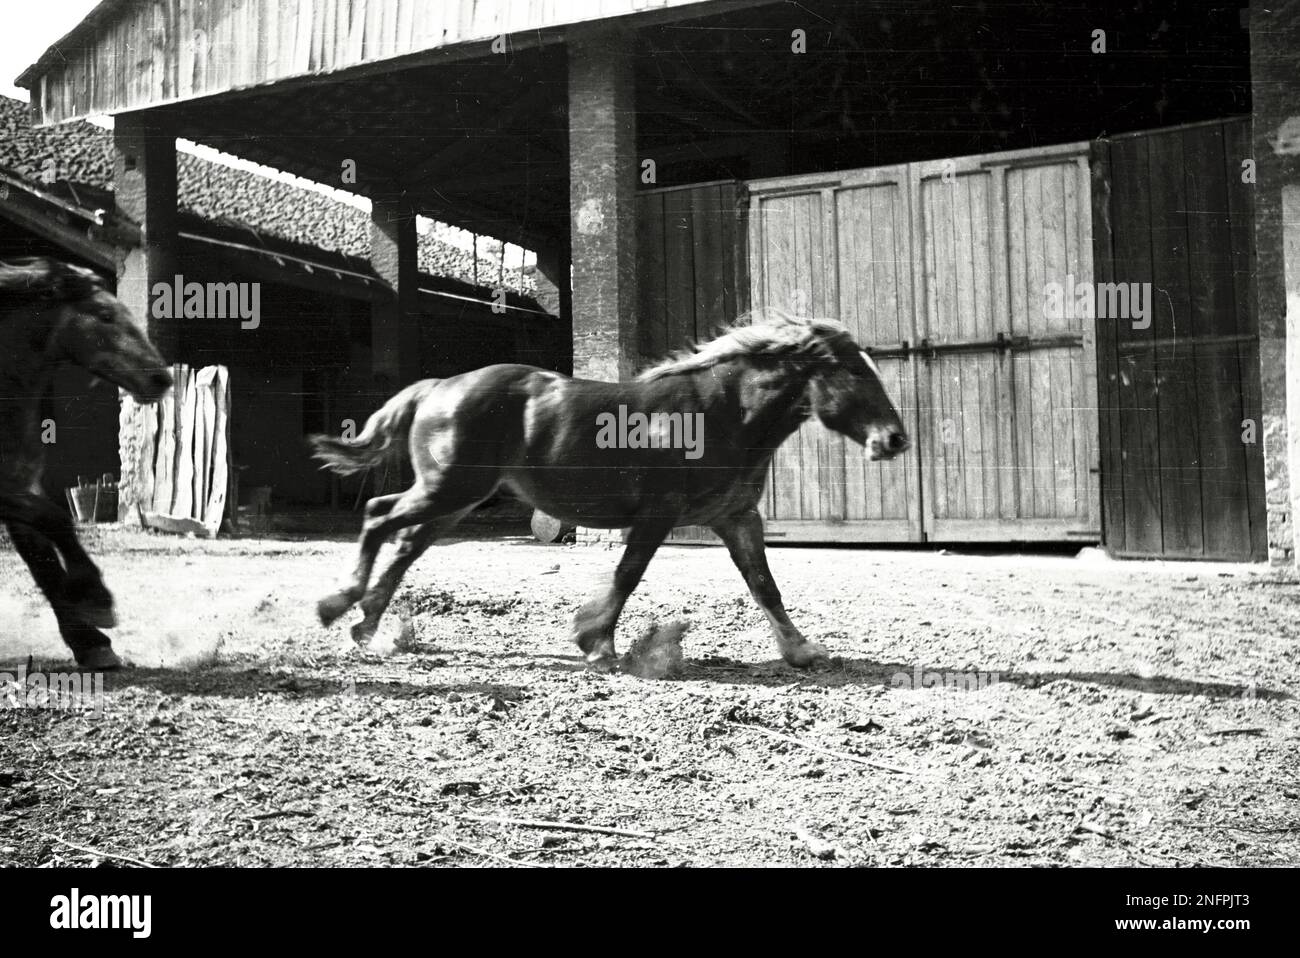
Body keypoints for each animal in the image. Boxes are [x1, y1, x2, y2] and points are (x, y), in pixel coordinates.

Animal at [0, 257, 172, 670]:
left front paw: (90, 641)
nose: (162, 378)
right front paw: (96, 598)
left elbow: (44, 560)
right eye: (105, 315)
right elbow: (57, 519)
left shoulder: (19, 484)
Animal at [309, 310, 909, 670]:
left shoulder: (737, 517)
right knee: (378, 515)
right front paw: (594, 640)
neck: (723, 414)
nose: (895, 439)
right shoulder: (657, 514)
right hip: (448, 489)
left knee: (405, 544)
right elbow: (629, 573)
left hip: (456, 499)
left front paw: (802, 649)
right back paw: (338, 605)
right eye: (855, 372)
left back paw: (367, 625)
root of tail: (438, 386)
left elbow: (764, 584)